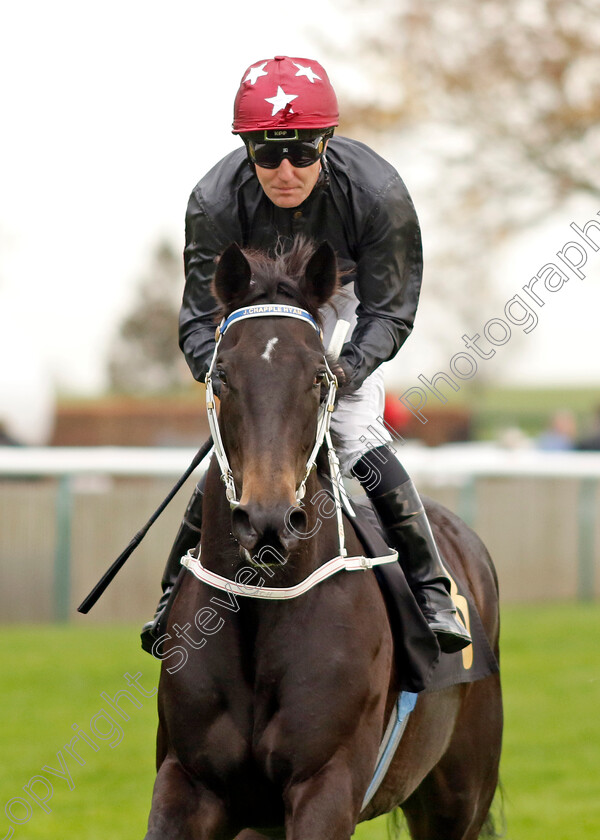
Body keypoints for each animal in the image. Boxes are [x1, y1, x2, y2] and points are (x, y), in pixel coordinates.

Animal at [144, 236, 502, 840]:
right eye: (222, 376)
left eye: (318, 376)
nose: (268, 519)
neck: (261, 606)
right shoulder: (187, 781)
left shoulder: (325, 784)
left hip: (460, 795)